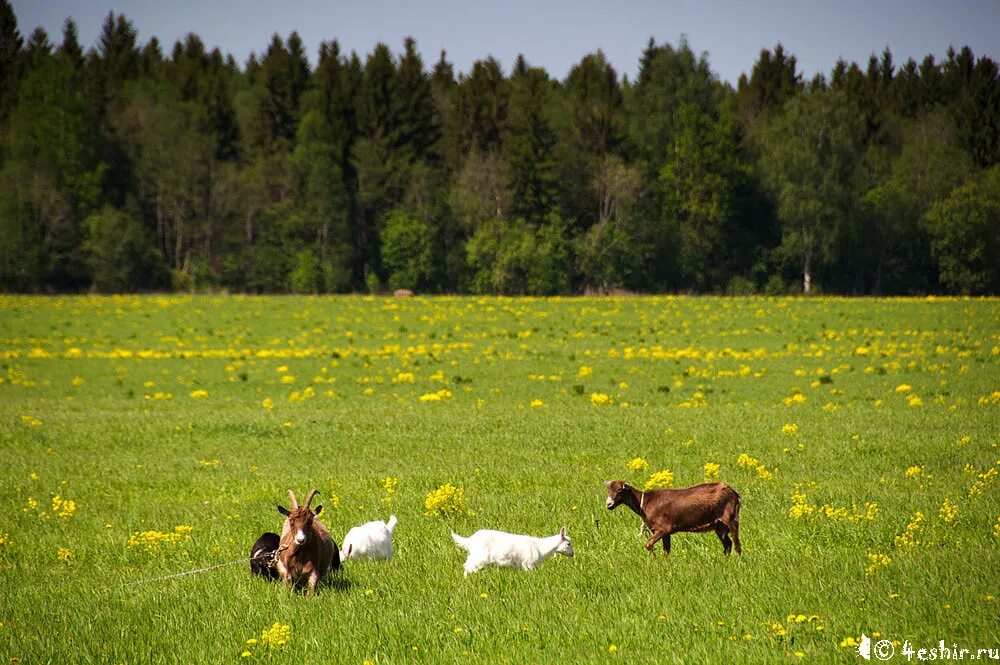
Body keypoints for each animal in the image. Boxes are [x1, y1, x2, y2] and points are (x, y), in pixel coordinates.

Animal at [600, 478, 744, 560]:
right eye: (608, 491)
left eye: (619, 490)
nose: (609, 505)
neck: (644, 502)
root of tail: (734, 493)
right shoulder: (665, 532)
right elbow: (666, 550)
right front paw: (665, 564)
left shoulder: (663, 528)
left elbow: (648, 544)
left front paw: (654, 560)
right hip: (719, 525)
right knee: (728, 544)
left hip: (730, 517)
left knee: (736, 542)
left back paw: (737, 561)